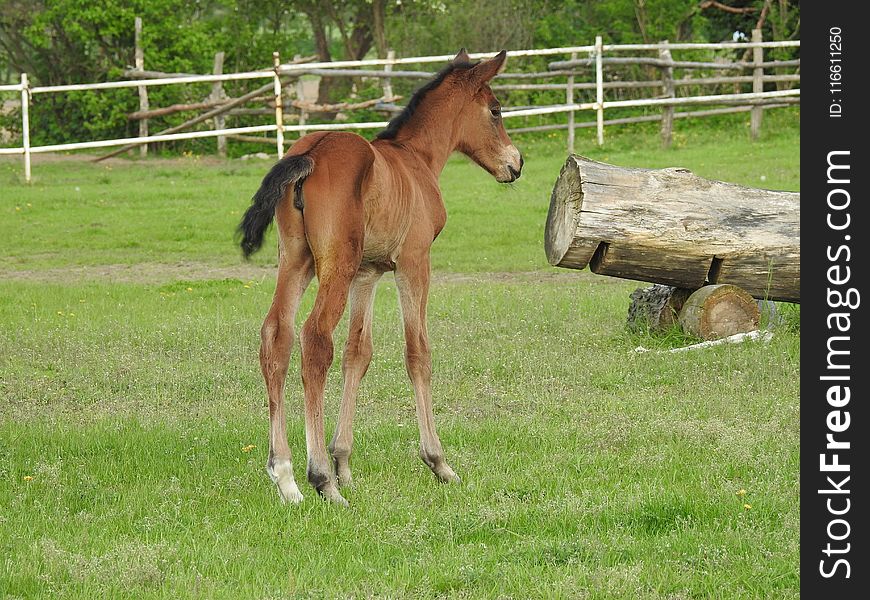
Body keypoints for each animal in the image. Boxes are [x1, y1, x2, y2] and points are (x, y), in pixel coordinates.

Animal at [238, 49, 524, 504]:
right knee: (314, 339)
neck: (415, 158)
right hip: (334, 266)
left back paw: (286, 477)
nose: (516, 164)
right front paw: (438, 462)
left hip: (297, 261)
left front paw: (344, 462)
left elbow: (359, 353)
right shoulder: (414, 262)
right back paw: (320, 478)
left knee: (276, 335)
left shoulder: (368, 273)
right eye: (495, 110)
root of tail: (311, 151)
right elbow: (417, 352)